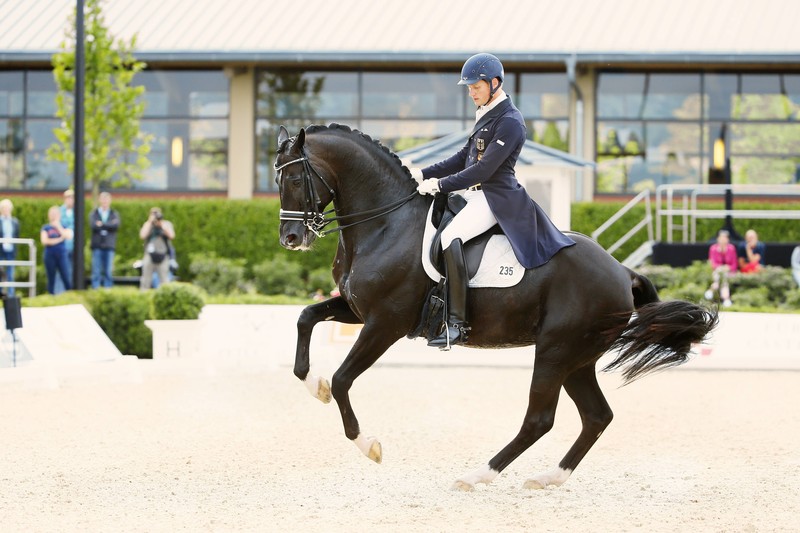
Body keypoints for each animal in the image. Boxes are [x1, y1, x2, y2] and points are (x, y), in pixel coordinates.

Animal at [276, 124, 720, 490]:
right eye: (277, 178)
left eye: (296, 178)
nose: (291, 238)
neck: (386, 224)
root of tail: (621, 270)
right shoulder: (358, 311)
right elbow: (305, 319)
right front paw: (313, 384)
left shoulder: (385, 323)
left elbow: (342, 380)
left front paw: (368, 444)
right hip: (577, 358)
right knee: (596, 416)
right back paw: (548, 478)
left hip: (556, 351)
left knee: (540, 419)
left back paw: (477, 475)